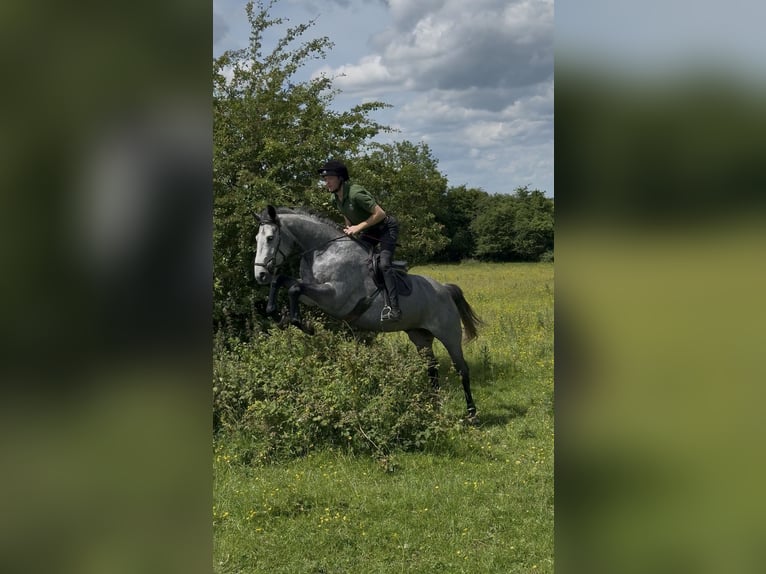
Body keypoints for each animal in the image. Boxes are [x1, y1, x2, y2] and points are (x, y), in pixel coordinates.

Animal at [253, 205, 481, 418]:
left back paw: (471, 413)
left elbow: (293, 288)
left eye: (270, 238)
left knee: (462, 369)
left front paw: (304, 325)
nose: (260, 274)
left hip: (449, 334)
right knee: (431, 368)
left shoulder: (335, 297)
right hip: (420, 336)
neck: (324, 250)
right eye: (257, 238)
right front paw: (278, 316)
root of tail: (445, 289)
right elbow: (283, 282)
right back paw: (434, 407)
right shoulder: (312, 296)